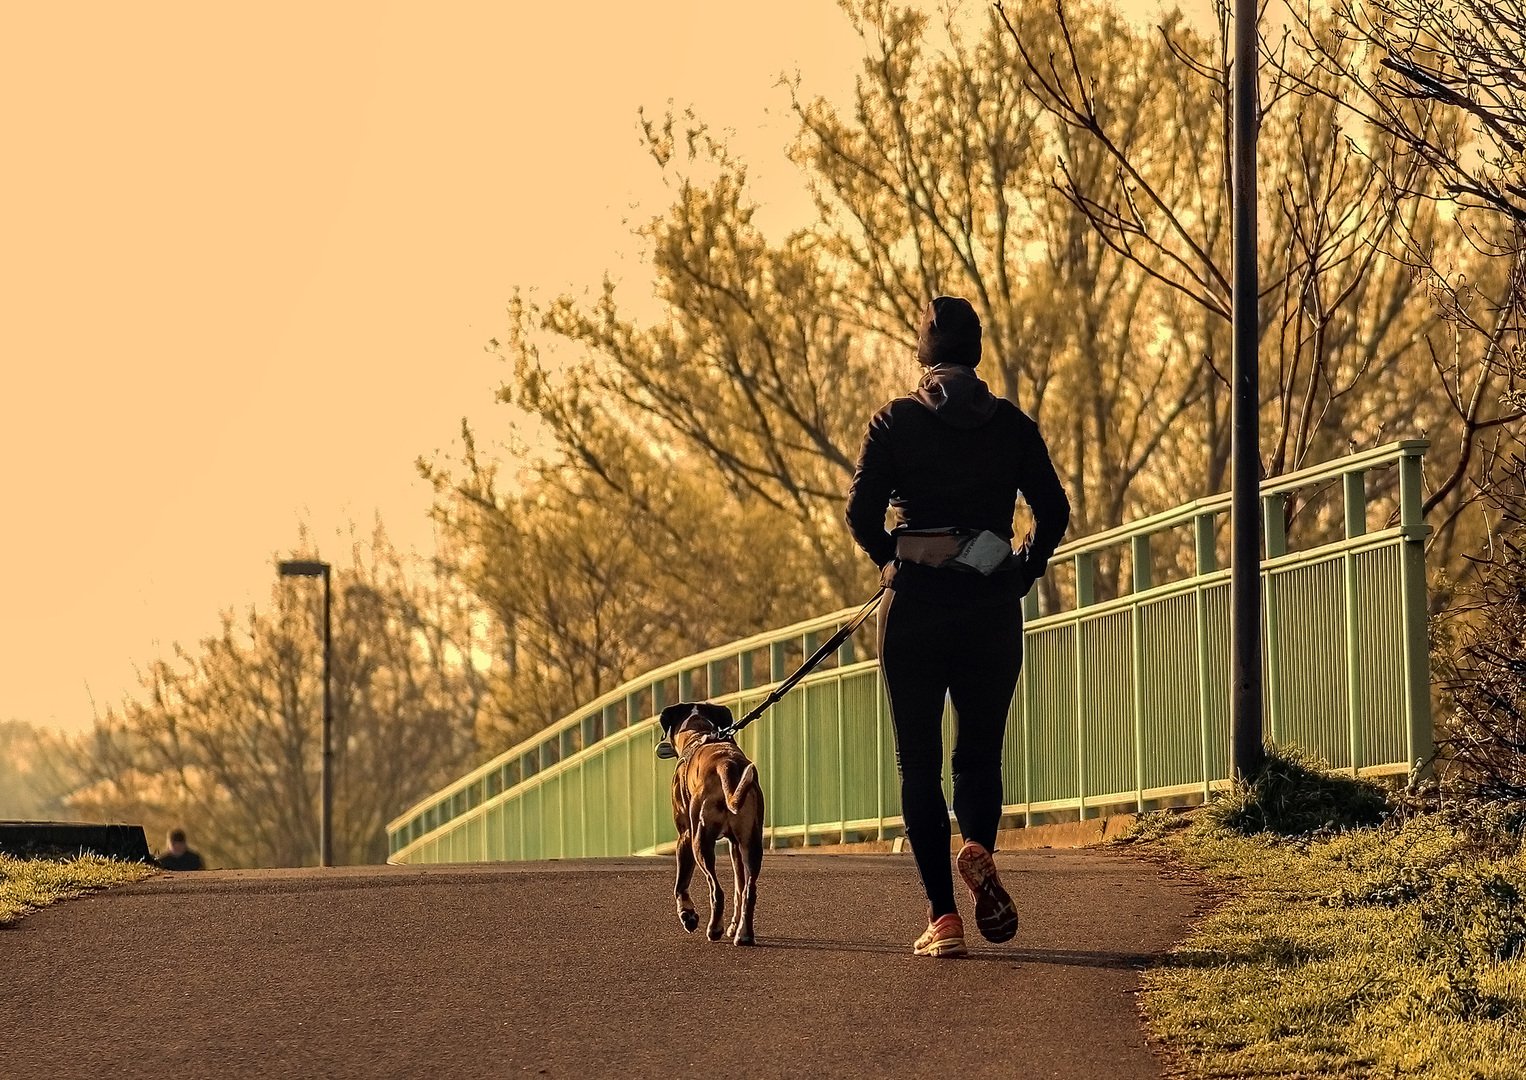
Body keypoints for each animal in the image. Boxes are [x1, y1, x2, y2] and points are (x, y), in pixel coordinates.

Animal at [662, 701, 769, 945]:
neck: (698, 732)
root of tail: (726, 764)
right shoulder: (735, 846)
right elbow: (739, 887)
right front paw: (734, 925)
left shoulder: (684, 835)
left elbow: (681, 884)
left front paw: (688, 915)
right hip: (750, 844)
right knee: (749, 890)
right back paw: (743, 934)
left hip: (700, 841)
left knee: (716, 890)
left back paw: (714, 929)